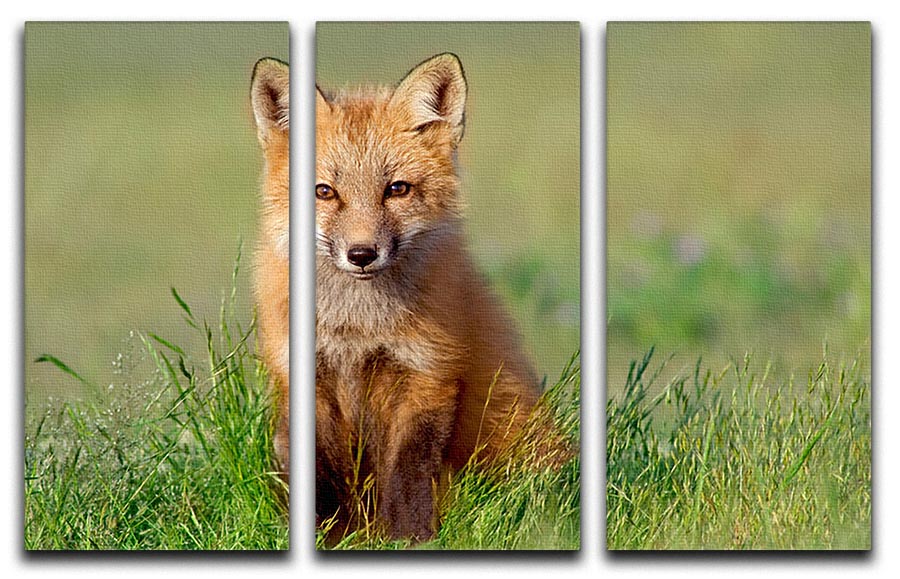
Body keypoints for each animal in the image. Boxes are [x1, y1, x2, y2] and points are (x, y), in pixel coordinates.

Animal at [315, 53, 541, 541]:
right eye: (326, 192)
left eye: (397, 189)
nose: (361, 254)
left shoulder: (427, 371)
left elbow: (409, 466)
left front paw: (407, 535)